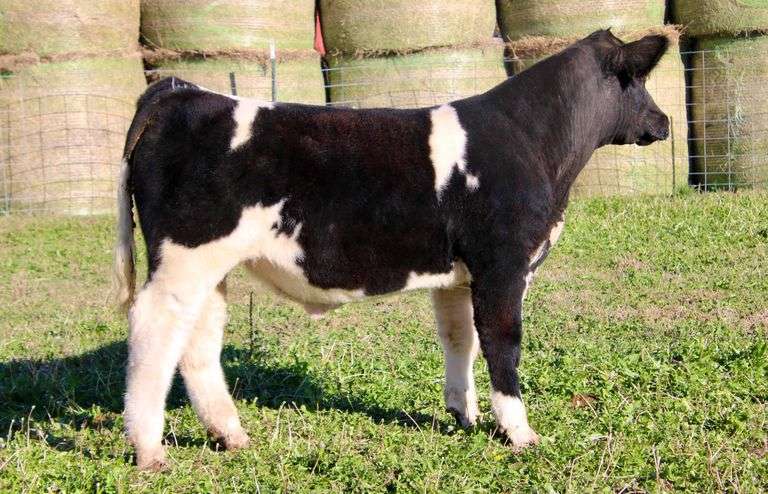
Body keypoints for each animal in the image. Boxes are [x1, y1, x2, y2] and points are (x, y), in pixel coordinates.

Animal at [112, 29, 670, 470]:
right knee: (153, 329)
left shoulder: (458, 276)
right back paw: (149, 449)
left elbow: (460, 340)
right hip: (184, 258)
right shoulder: (503, 266)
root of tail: (179, 93)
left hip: (208, 266)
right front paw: (519, 433)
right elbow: (503, 343)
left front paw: (463, 415)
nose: (664, 122)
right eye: (638, 81)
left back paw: (231, 435)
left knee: (198, 339)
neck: (532, 144)